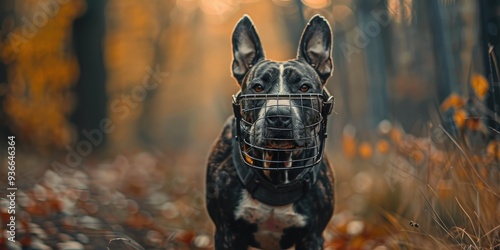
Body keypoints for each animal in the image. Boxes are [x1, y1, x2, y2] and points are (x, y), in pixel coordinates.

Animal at [207, 14, 336, 249]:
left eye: (304, 88)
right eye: (258, 88)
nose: (278, 116)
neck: (277, 167)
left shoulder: (312, 236)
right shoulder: (226, 233)